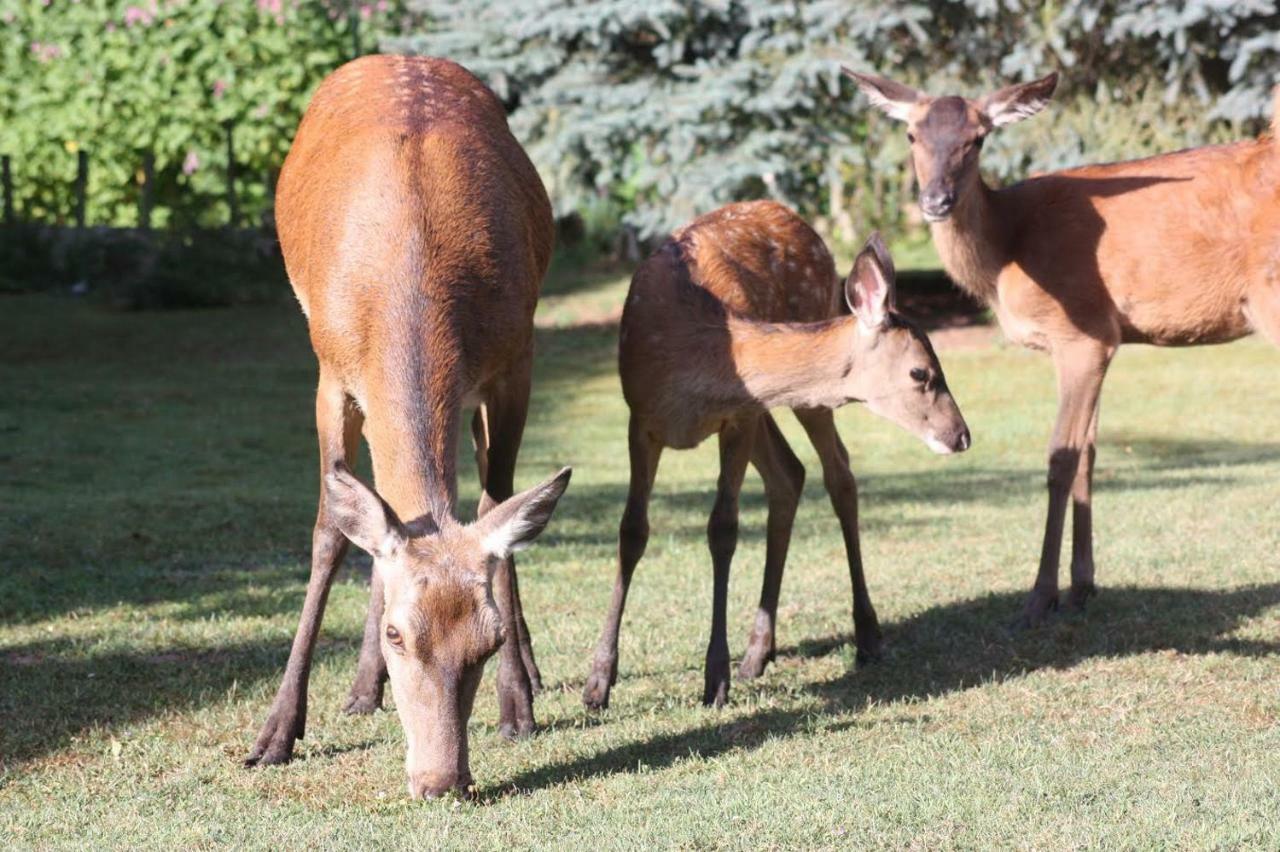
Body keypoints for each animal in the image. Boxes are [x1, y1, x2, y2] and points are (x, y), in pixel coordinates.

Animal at [241, 56, 573, 798]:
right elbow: (331, 534)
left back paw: (534, 678)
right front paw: (276, 733)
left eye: (489, 640)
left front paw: (516, 703)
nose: (441, 779)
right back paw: (361, 691)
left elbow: (497, 510)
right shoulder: (332, 376)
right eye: (397, 635)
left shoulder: (515, 363)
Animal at [583, 200, 967, 711]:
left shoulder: (739, 417)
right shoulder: (641, 419)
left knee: (837, 474)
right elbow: (632, 532)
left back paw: (866, 635)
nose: (960, 435)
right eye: (921, 372)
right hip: (770, 407)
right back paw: (758, 652)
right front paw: (598, 682)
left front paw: (715, 676)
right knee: (791, 473)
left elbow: (722, 529)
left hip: (803, 395)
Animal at [844, 68, 1280, 624]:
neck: (1007, 250)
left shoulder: (1083, 332)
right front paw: (1082, 585)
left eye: (978, 138)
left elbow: (1061, 457)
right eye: (911, 134)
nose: (935, 201)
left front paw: (1040, 595)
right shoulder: (1098, 339)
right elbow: (1090, 452)